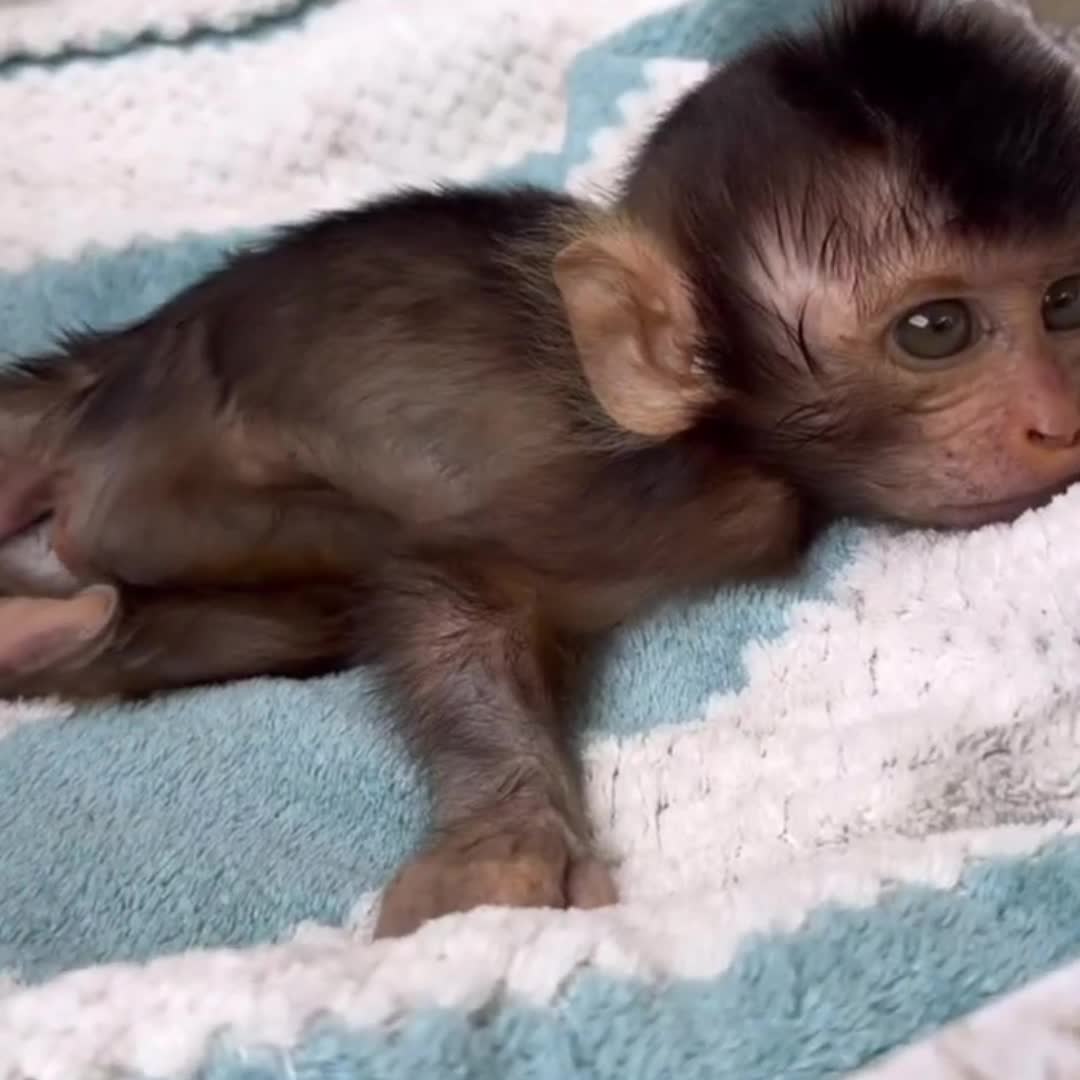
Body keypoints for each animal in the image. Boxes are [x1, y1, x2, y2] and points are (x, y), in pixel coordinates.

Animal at [2, 0, 1080, 937]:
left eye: (1066, 304)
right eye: (935, 330)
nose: (1059, 422)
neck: (719, 437)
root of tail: (113, 357)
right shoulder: (642, 501)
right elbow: (453, 590)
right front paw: (505, 836)